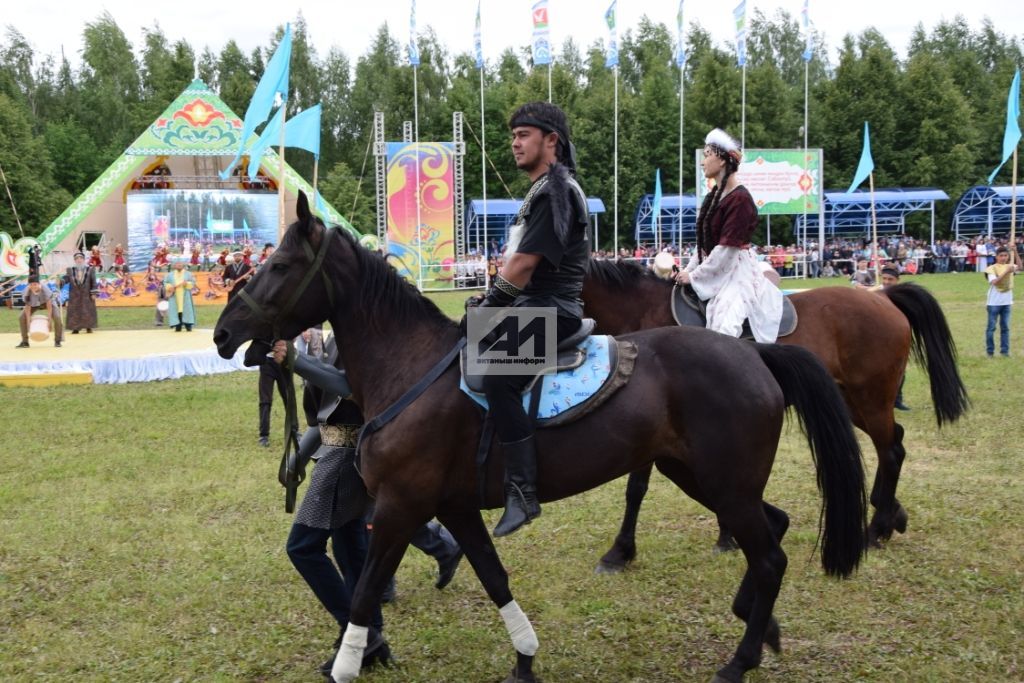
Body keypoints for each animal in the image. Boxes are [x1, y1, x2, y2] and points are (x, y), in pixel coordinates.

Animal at [211, 193, 868, 683]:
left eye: (280, 267)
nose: (222, 332)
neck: (410, 364)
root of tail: (754, 353)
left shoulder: (399, 508)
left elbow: (364, 592)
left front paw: (348, 664)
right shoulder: (453, 507)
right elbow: (492, 576)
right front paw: (525, 658)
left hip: (723, 484)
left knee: (772, 554)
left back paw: (740, 658)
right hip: (702, 477)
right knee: (772, 531)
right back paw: (759, 627)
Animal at [585, 255, 966, 573]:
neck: (642, 312)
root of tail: (883, 297)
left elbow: (636, 488)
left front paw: (619, 552)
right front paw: (726, 535)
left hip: (871, 400)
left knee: (890, 451)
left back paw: (876, 528)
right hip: (852, 402)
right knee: (896, 442)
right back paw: (891, 515)